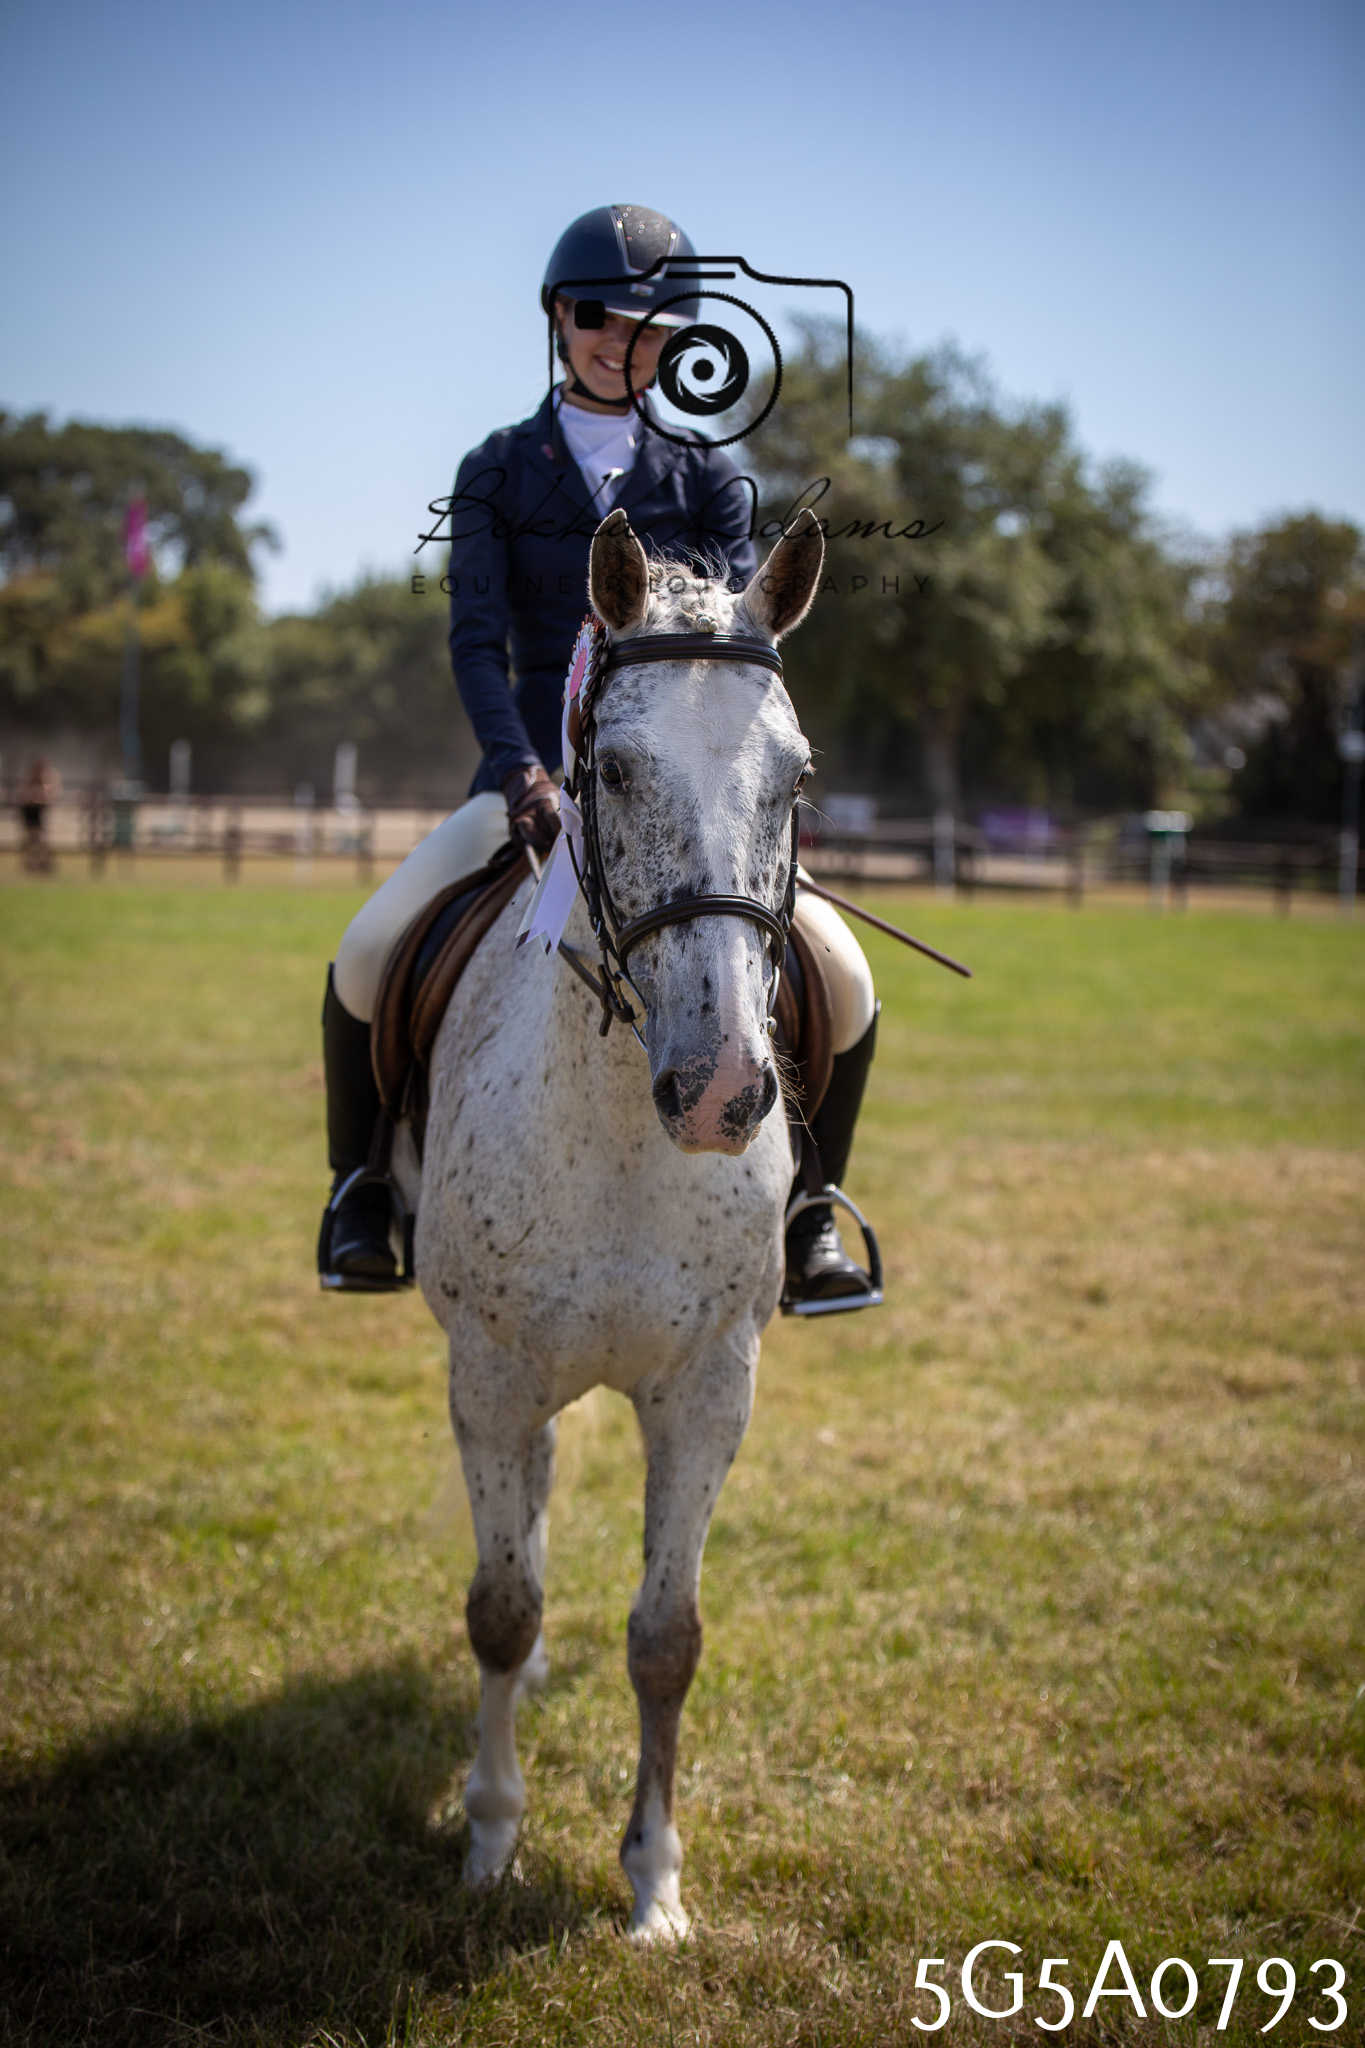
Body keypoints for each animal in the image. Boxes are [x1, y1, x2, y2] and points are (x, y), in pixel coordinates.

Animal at [404, 504, 826, 1941]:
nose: (721, 1092)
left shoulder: (710, 1387)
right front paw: (488, 1835)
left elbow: (665, 1638)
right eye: (620, 770)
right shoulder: (487, 1369)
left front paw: (653, 1884)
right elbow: (496, 1604)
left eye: (796, 779)